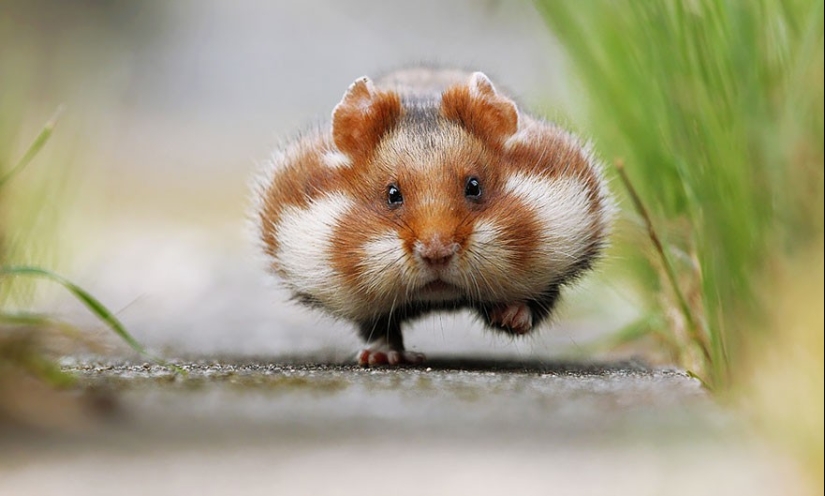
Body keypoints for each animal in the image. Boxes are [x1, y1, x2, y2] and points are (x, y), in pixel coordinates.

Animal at [254, 68, 614, 366]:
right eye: (392, 194)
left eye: (474, 186)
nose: (437, 252)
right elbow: (377, 326)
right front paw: (382, 357)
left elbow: (534, 305)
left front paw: (509, 316)